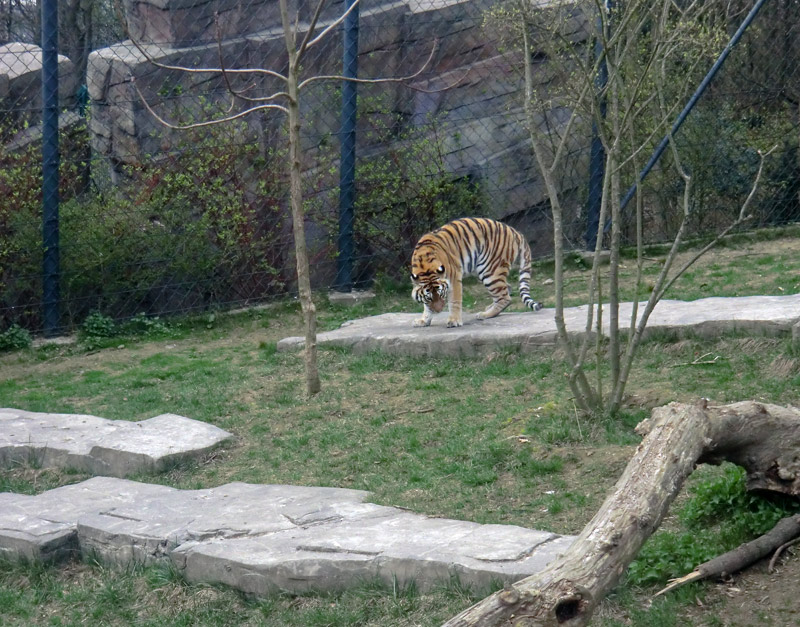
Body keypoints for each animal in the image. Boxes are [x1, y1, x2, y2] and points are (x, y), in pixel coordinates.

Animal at [410, 217, 540, 328]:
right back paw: (489, 308)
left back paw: (484, 314)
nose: (438, 311)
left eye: (441, 294)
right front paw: (423, 320)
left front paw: (454, 321)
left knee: (505, 297)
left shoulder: (454, 278)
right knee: (507, 288)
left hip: (489, 271)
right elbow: (426, 307)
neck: (424, 266)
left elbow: (454, 301)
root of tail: (515, 232)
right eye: (429, 298)